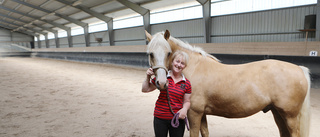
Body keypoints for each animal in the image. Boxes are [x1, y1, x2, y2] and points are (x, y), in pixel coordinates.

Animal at [146, 30, 312, 137]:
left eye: (168, 53)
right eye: (150, 53)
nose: (161, 82)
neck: (193, 67)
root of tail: (299, 68)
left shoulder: (194, 113)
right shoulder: (202, 113)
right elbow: (205, 132)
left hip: (290, 116)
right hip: (278, 113)